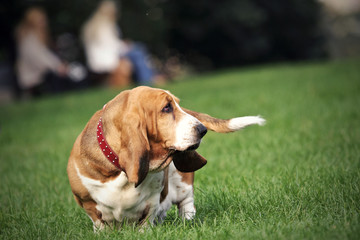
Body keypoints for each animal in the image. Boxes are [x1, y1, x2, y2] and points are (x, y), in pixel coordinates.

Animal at [67, 85, 264, 230]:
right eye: (167, 108)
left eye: (177, 105)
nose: (202, 129)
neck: (118, 171)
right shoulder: (87, 203)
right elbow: (99, 222)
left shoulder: (153, 199)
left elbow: (147, 218)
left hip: (183, 184)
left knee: (186, 202)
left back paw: (187, 221)